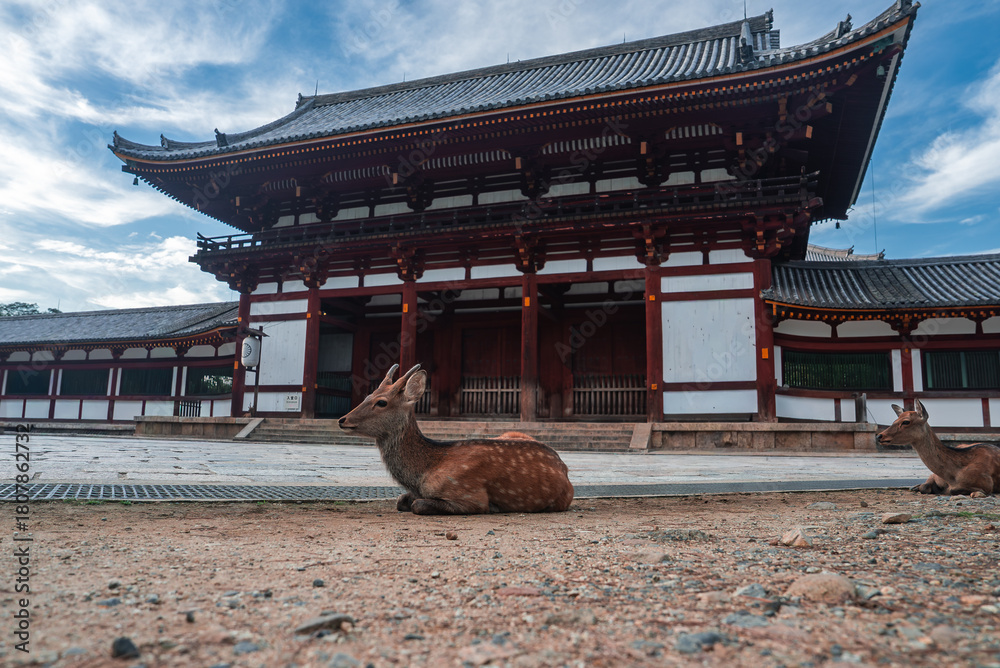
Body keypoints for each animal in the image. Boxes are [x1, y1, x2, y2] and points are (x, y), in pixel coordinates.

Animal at [338, 364, 574, 515]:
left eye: (381, 402)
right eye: (368, 395)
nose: (342, 419)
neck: (422, 474)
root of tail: (564, 467)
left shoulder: (470, 495)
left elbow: (418, 505)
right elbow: (401, 500)